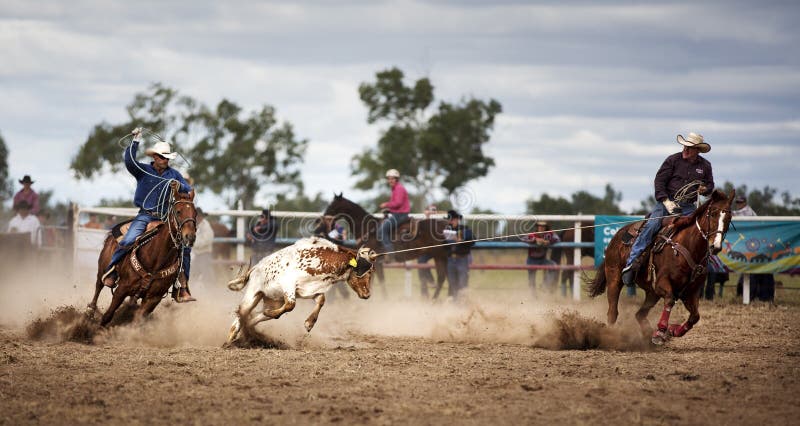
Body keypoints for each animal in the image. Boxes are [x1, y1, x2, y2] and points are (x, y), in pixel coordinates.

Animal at [86, 182, 197, 326]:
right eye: (178, 211)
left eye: (195, 213)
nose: (190, 237)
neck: (157, 258)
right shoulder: (122, 289)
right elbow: (107, 316)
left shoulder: (153, 299)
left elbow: (137, 321)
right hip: (102, 268)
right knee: (99, 285)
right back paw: (91, 310)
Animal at [225, 238, 376, 344]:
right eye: (365, 270)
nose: (367, 294)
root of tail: (255, 268)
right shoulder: (288, 285)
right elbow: (290, 305)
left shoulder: (309, 289)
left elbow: (321, 300)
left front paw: (309, 323)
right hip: (253, 295)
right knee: (241, 313)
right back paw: (231, 337)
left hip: (272, 300)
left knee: (254, 317)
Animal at [310, 193, 450, 296]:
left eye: (332, 206)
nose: (319, 221)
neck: (368, 228)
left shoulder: (376, 262)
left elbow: (380, 283)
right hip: (441, 256)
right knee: (443, 277)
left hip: (439, 255)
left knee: (443, 277)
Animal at [584, 191, 736, 344]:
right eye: (713, 214)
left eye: (729, 218)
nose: (715, 246)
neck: (688, 247)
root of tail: (617, 236)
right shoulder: (662, 283)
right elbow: (669, 300)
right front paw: (660, 331)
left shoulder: (691, 292)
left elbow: (695, 316)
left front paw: (673, 330)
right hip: (614, 278)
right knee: (613, 312)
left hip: (652, 293)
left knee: (639, 314)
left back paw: (648, 333)